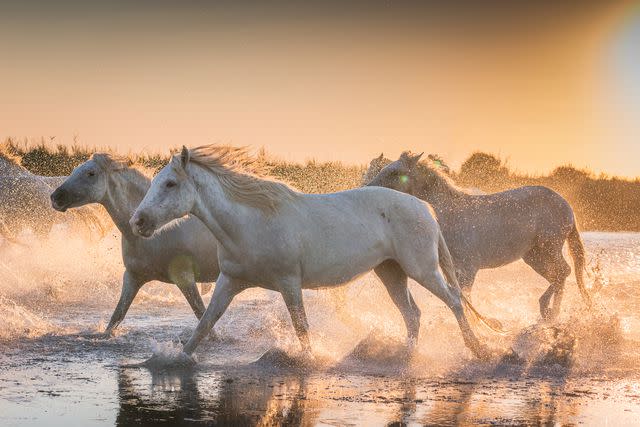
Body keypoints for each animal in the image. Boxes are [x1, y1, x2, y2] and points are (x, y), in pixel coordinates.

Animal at [50, 155, 221, 336]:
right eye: (75, 170)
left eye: (91, 173)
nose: (55, 197)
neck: (158, 234)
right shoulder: (132, 278)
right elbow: (116, 316)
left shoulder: (184, 278)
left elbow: (202, 315)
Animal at [129, 146, 500, 362]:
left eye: (170, 184)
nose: (138, 221)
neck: (251, 222)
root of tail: (424, 208)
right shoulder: (230, 281)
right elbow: (205, 323)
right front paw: (178, 359)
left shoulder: (289, 283)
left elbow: (301, 328)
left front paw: (309, 361)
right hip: (391, 272)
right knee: (413, 314)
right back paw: (405, 354)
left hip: (422, 269)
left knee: (453, 300)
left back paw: (478, 349)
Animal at [368, 152, 592, 320]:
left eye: (395, 172)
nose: (368, 188)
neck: (448, 214)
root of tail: (566, 207)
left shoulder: (467, 269)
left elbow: (465, 299)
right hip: (534, 256)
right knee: (559, 274)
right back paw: (549, 314)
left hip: (548, 248)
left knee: (563, 272)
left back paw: (548, 312)